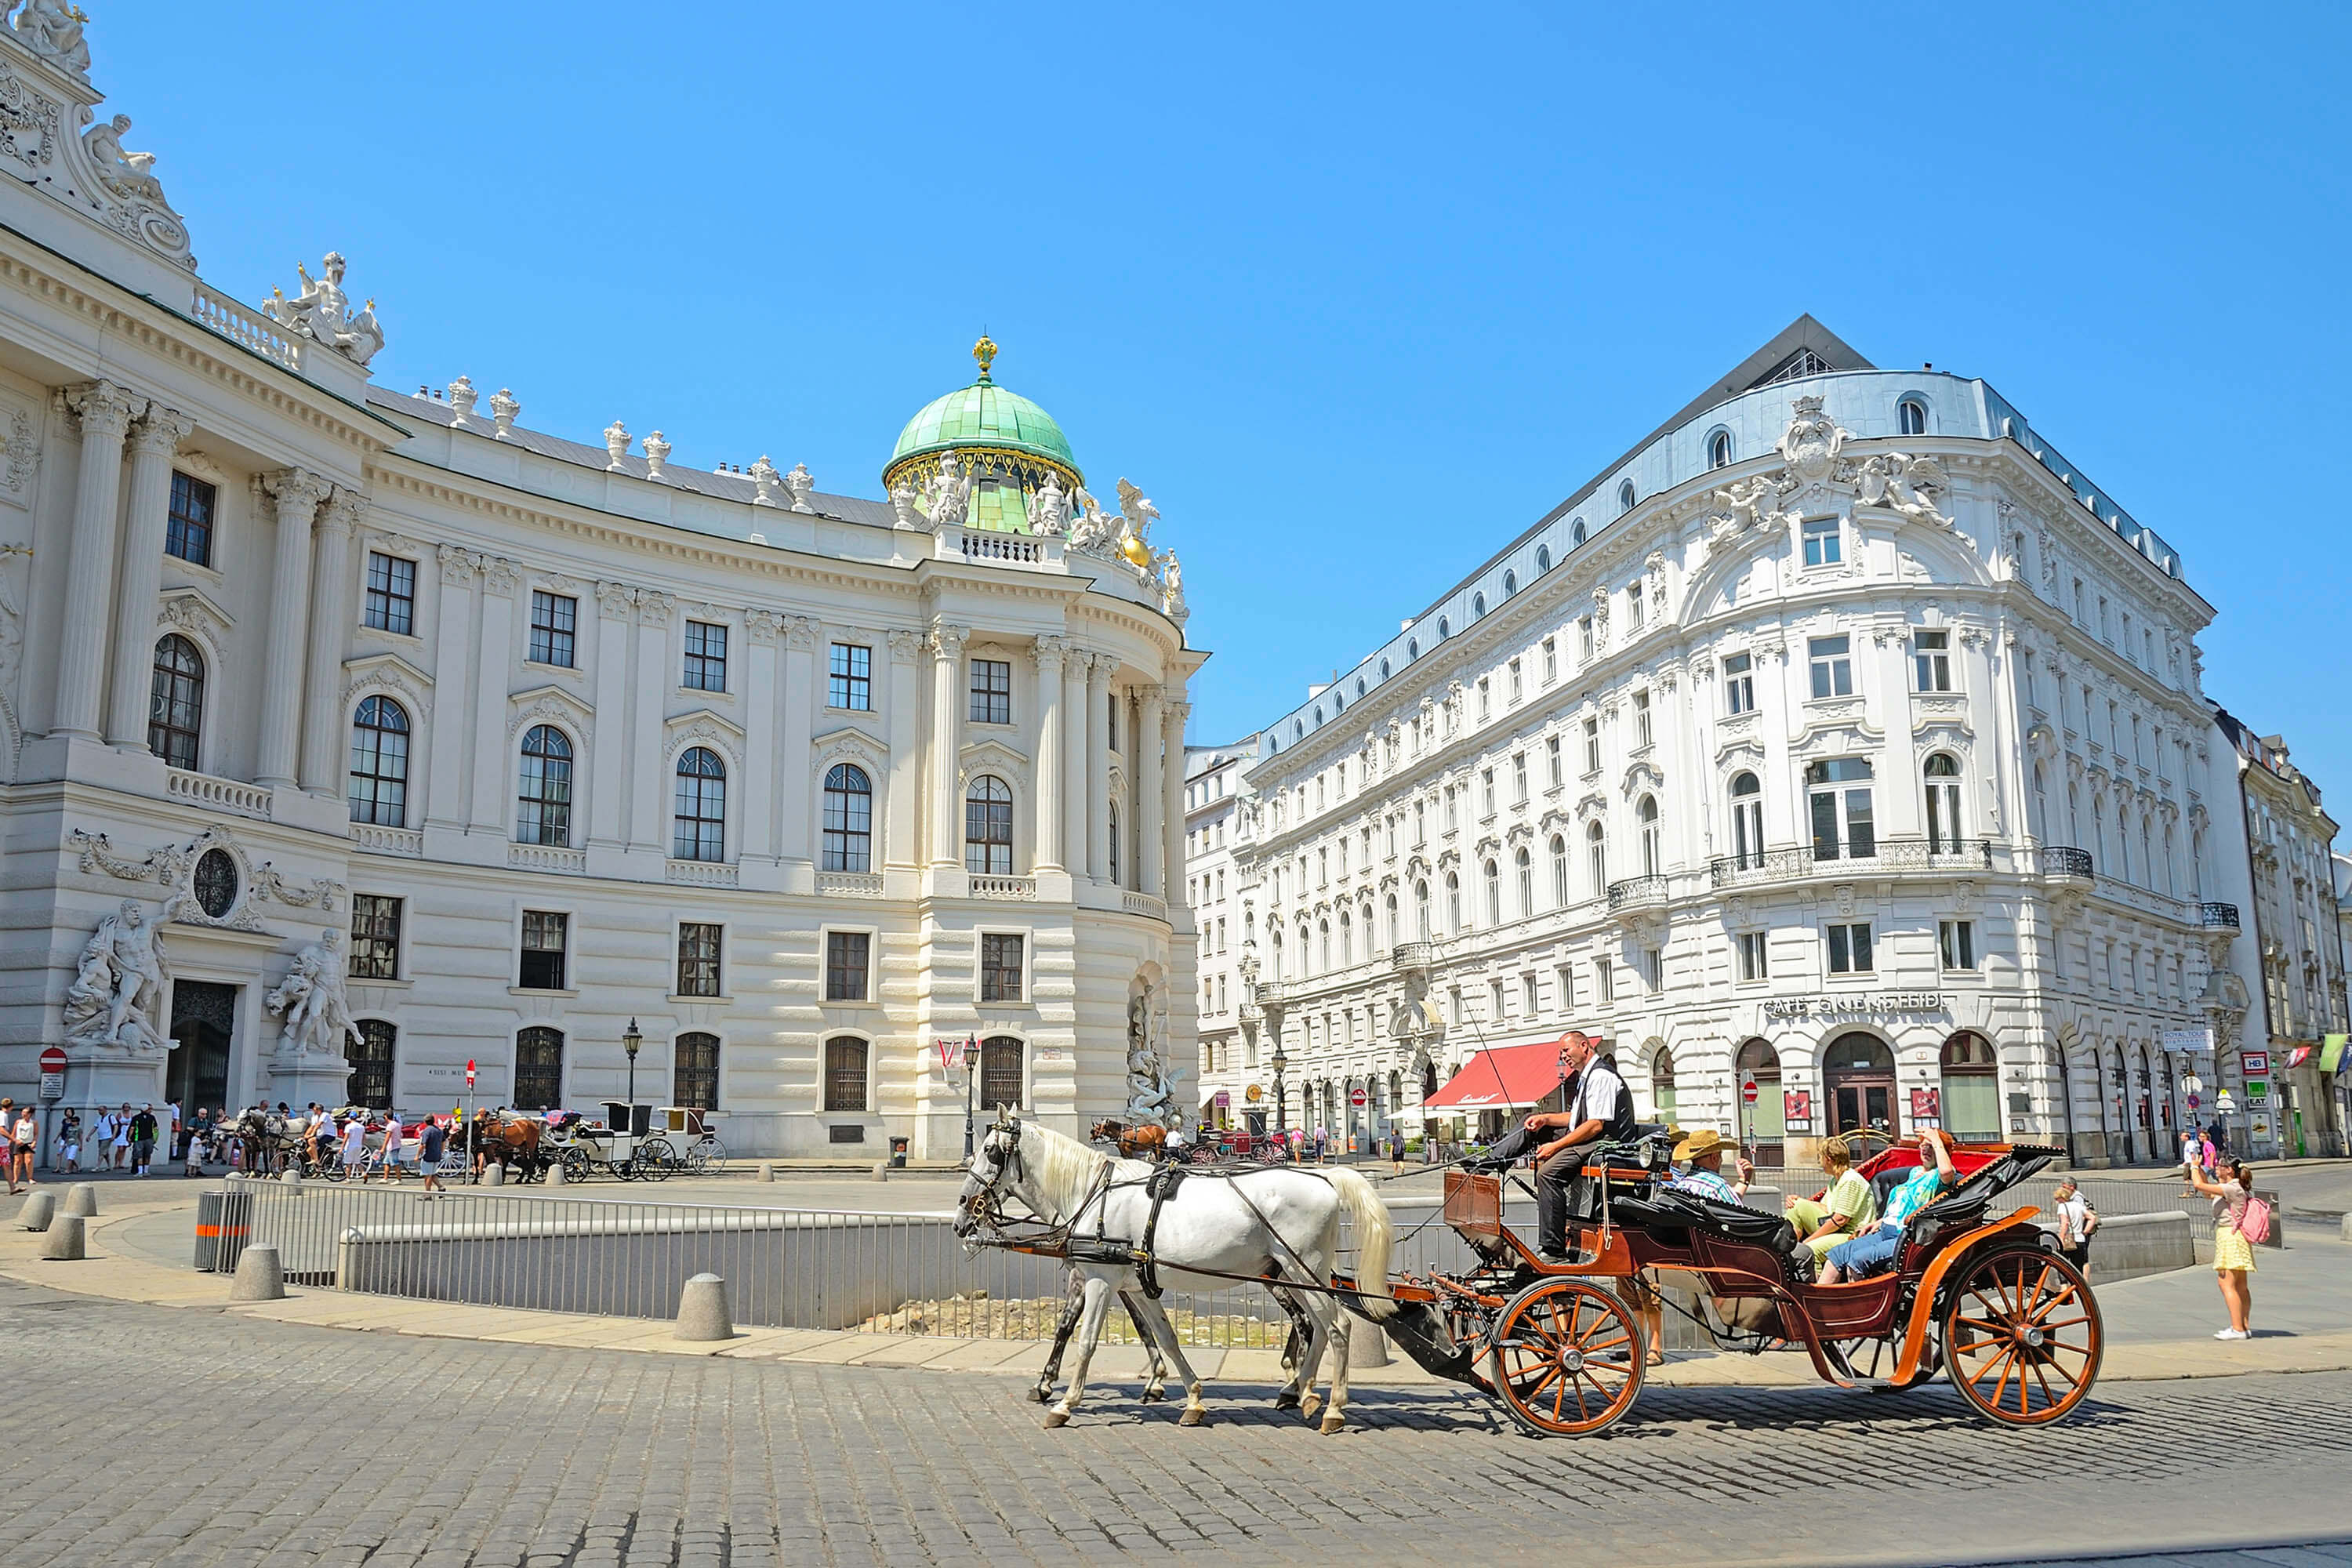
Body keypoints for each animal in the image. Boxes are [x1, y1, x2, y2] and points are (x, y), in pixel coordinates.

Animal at [955, 1114, 1392, 1439]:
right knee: (1316, 1327)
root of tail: (1325, 1177)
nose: (962, 1215)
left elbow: (1084, 1338)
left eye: (990, 1152)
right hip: (1291, 1274)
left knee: (1336, 1327)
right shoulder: (1137, 1286)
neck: (1094, 1193)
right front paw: (1192, 1398)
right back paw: (1303, 1393)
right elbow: (1165, 1337)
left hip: (1303, 1270)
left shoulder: (1099, 1280)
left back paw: (1332, 1408)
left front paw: (1063, 1402)